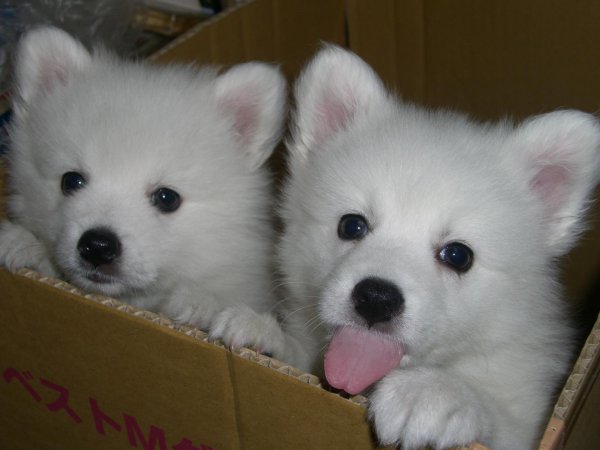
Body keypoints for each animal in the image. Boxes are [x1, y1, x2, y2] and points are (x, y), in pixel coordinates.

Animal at [277, 45, 600, 449]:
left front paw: (433, 393)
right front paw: (258, 330)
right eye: (351, 225)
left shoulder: (527, 413)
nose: (376, 297)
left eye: (458, 255)